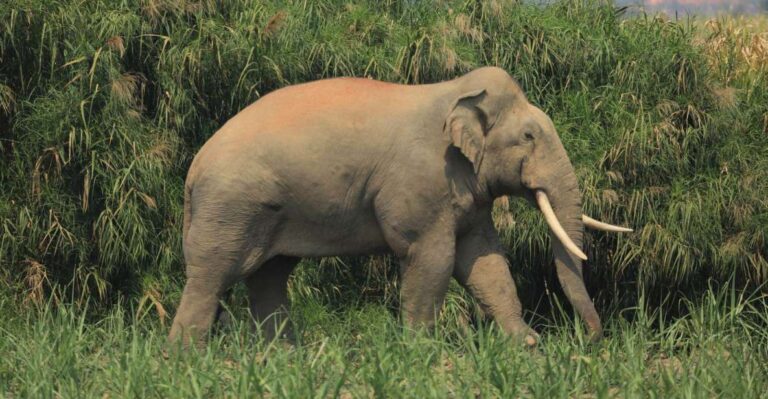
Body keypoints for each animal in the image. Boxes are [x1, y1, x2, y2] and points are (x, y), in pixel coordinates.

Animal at [171, 66, 632, 346]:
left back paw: (283, 358)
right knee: (213, 275)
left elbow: (484, 260)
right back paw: (185, 357)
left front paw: (524, 346)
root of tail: (194, 168)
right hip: (231, 205)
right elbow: (432, 257)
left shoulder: (467, 192)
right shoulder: (421, 182)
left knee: (269, 277)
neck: (457, 92)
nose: (590, 340)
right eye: (529, 137)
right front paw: (421, 352)